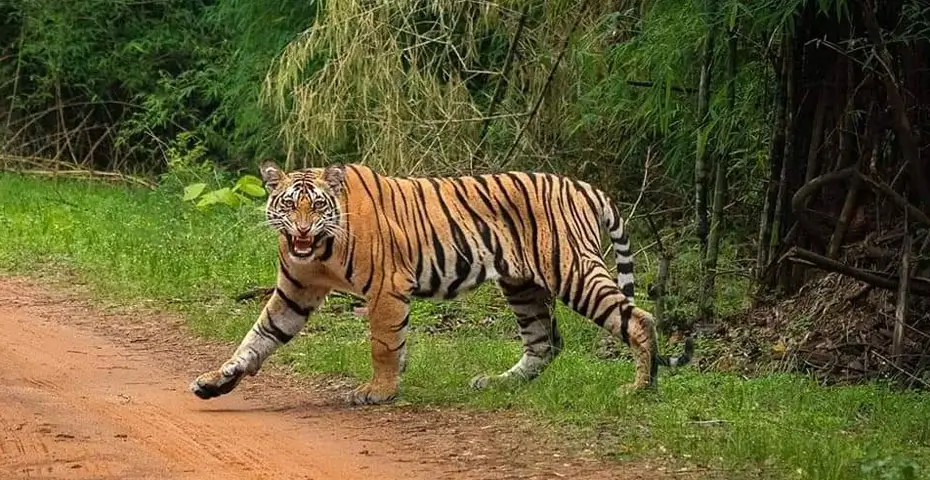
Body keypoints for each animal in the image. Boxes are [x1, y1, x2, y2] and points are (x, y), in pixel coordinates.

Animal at [189, 162, 693, 405]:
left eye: (316, 206)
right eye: (288, 205)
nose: (302, 231)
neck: (320, 252)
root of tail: (585, 186)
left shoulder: (387, 287)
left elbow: (383, 343)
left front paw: (380, 391)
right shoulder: (294, 293)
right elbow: (256, 338)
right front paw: (215, 382)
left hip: (573, 270)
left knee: (638, 319)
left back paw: (640, 389)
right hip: (522, 285)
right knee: (544, 342)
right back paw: (496, 383)